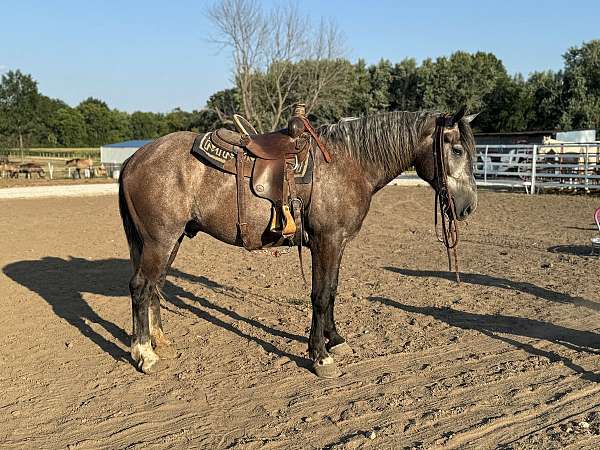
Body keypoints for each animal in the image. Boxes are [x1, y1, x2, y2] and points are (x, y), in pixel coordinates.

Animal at [119, 108, 478, 376]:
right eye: (457, 150)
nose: (468, 206)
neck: (349, 163)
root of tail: (135, 158)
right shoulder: (326, 241)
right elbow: (319, 295)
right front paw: (320, 356)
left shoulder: (337, 242)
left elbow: (331, 291)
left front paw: (336, 340)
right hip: (160, 240)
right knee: (141, 286)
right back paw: (144, 354)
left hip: (171, 240)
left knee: (156, 286)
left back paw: (160, 342)